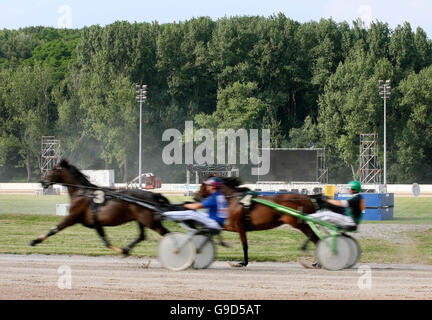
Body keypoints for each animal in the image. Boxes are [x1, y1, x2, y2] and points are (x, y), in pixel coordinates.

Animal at [28, 159, 170, 255]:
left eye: (52, 170)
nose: (42, 181)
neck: (82, 192)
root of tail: (152, 194)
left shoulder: (72, 217)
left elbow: (54, 229)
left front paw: (34, 241)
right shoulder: (96, 223)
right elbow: (105, 241)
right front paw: (122, 250)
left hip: (150, 222)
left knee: (167, 234)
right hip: (141, 220)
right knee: (142, 236)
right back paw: (127, 249)